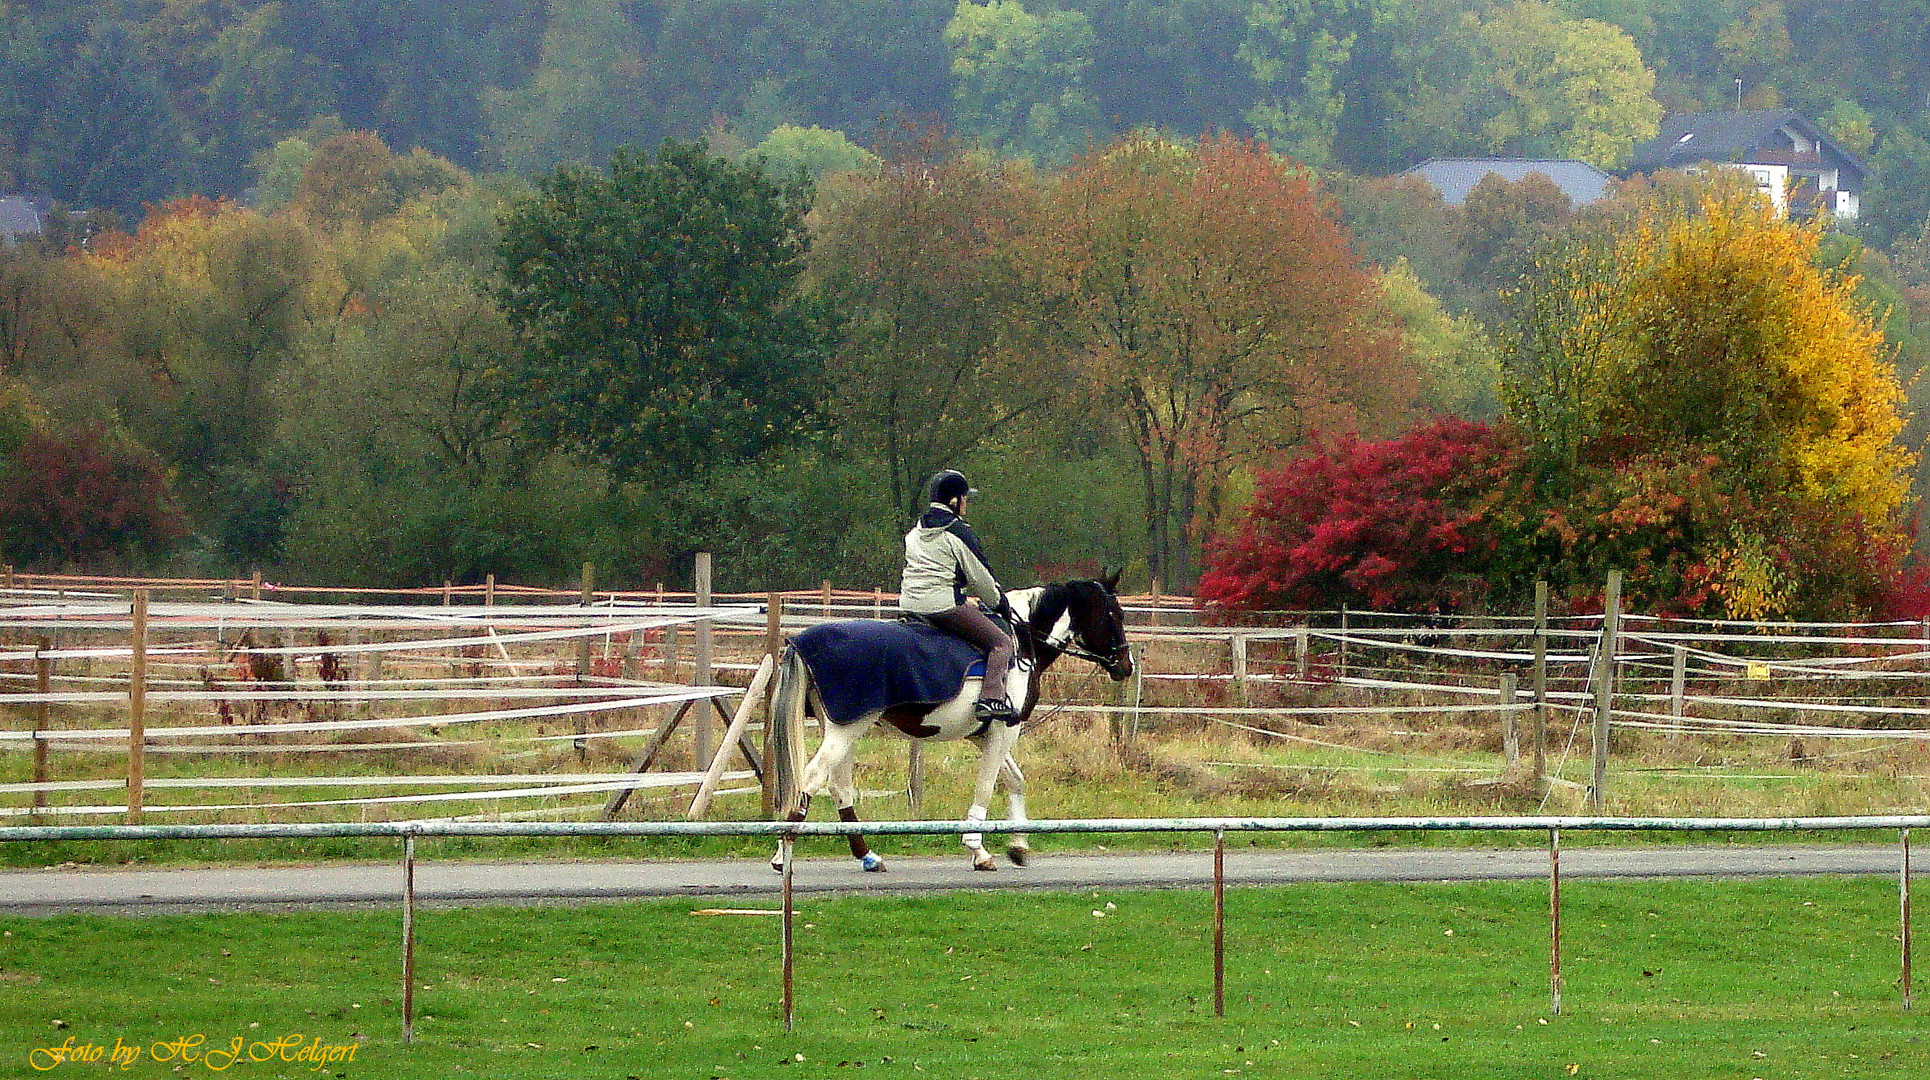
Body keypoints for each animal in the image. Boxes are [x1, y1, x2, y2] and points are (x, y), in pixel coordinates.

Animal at [764, 570, 1127, 871]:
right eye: (1114, 614)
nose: (1127, 664)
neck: (1022, 642)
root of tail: (802, 642)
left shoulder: (984, 735)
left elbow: (1015, 780)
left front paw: (1018, 846)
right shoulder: (1003, 731)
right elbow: (987, 786)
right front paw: (978, 849)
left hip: (841, 730)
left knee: (838, 786)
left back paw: (867, 856)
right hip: (845, 730)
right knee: (810, 780)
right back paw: (784, 852)